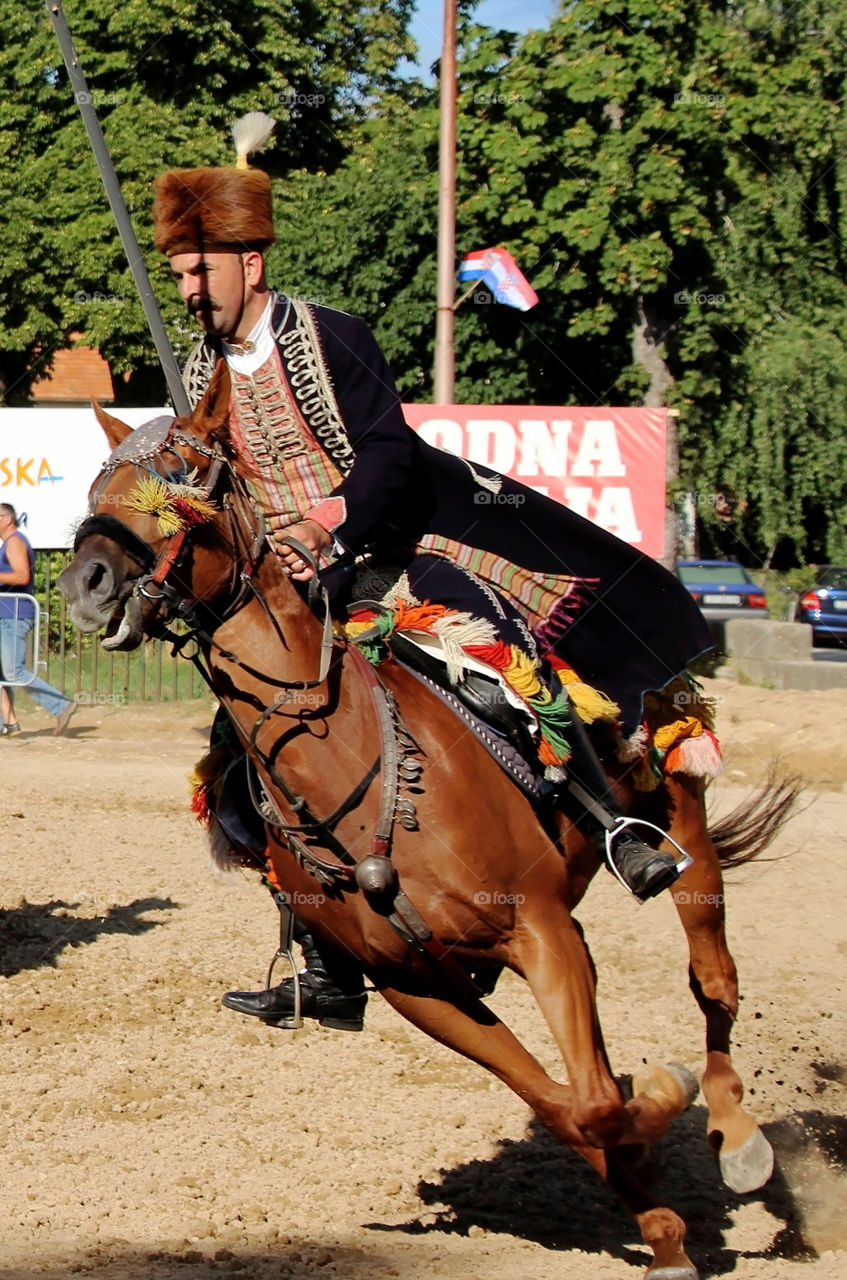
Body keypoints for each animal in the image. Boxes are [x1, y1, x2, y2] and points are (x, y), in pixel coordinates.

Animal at [59, 368, 803, 1280]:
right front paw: (658, 1220)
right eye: (97, 490)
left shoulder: (543, 932)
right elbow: (569, 1107)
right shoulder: (423, 990)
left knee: (711, 971)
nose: (86, 583)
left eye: (183, 476)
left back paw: (736, 1132)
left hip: (672, 797)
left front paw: (662, 1106)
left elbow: (597, 1096)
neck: (358, 755)